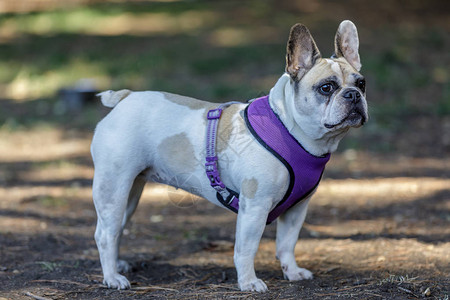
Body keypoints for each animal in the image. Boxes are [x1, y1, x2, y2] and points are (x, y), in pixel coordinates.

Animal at [90, 19, 366, 292]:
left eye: (361, 83)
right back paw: (112, 277)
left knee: (116, 229)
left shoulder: (297, 209)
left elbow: (287, 244)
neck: (290, 129)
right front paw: (248, 282)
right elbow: (246, 249)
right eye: (326, 88)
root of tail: (124, 98)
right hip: (113, 187)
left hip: (131, 192)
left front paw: (292, 272)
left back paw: (117, 265)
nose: (353, 94)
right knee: (105, 233)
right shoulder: (255, 206)